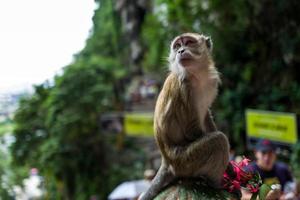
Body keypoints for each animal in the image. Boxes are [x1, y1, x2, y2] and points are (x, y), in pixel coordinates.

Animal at [139, 33, 230, 200]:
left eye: (188, 42)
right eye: (177, 46)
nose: (181, 51)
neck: (197, 75)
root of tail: (166, 161)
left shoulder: (211, 83)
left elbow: (205, 116)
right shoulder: (184, 86)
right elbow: (191, 130)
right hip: (184, 161)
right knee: (218, 141)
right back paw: (216, 184)